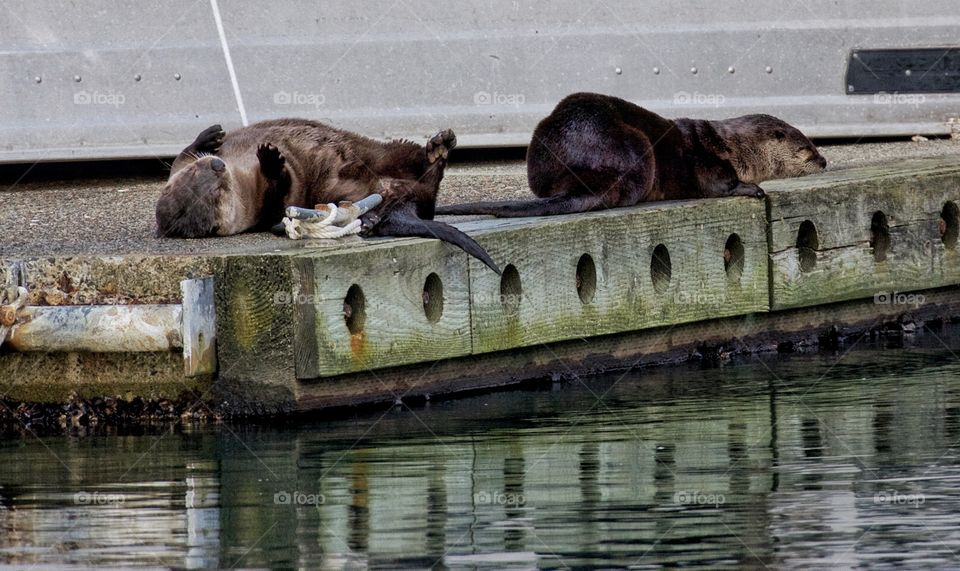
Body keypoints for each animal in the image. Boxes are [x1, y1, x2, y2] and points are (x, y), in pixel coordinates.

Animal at [154, 118, 498, 272]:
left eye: (196, 174)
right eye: (218, 192)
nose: (216, 164)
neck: (241, 174)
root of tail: (404, 198)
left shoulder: (180, 167)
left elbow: (183, 153)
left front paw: (209, 136)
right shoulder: (259, 206)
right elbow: (281, 195)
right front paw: (271, 160)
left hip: (384, 151)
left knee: (418, 169)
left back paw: (439, 146)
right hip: (345, 189)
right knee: (420, 199)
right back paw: (372, 218)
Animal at [436, 92, 824, 218]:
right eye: (807, 148)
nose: (824, 161)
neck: (732, 146)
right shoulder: (707, 158)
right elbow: (717, 183)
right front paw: (752, 188)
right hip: (633, 148)